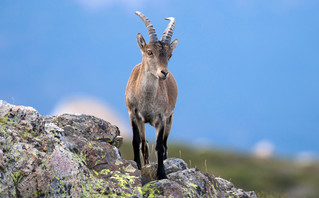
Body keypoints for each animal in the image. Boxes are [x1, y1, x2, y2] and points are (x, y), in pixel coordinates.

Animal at [125, 11, 179, 180]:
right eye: (149, 51)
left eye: (170, 54)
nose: (164, 73)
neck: (146, 99)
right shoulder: (133, 113)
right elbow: (136, 142)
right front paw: (137, 166)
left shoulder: (161, 118)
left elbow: (160, 146)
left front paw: (162, 174)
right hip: (142, 122)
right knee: (144, 144)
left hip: (170, 119)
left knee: (165, 145)